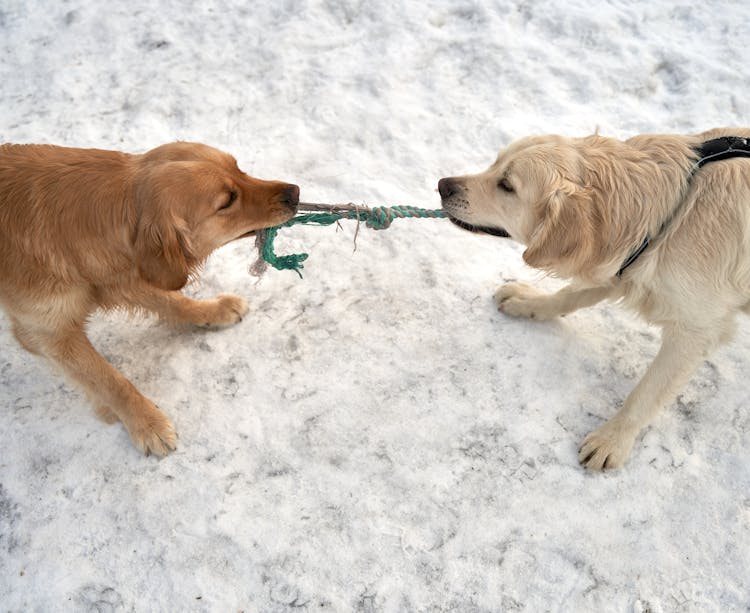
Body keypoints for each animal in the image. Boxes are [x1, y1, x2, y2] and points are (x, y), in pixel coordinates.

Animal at [0, 140, 300, 454]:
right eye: (228, 200)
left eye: (238, 168)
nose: (295, 192)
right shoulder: (46, 333)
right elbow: (109, 381)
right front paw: (147, 424)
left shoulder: (127, 274)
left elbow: (173, 300)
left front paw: (213, 311)